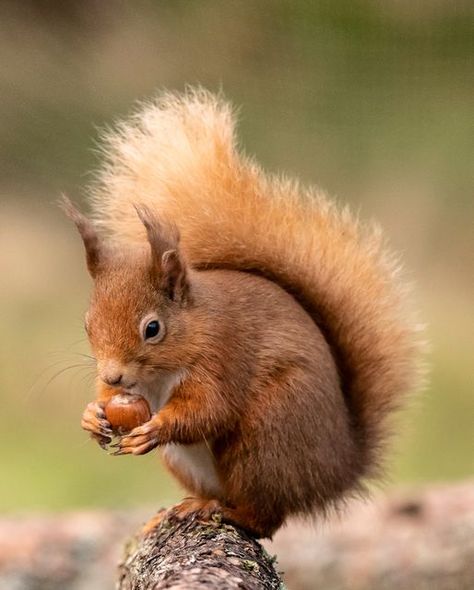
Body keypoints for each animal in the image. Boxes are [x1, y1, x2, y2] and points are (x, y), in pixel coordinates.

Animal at [62, 89, 422, 540]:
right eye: (87, 324)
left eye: (153, 328)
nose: (113, 376)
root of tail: (336, 470)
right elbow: (110, 403)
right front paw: (92, 416)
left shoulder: (221, 357)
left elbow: (209, 409)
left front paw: (156, 428)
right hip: (189, 461)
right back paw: (185, 507)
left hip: (265, 437)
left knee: (265, 518)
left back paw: (226, 513)